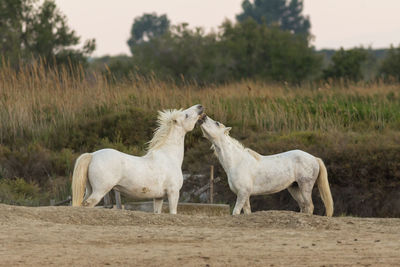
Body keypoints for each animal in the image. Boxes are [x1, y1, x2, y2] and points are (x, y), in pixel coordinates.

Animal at [70, 103, 205, 215]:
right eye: (186, 115)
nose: (200, 107)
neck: (168, 157)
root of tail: (92, 155)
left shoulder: (159, 197)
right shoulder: (173, 193)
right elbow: (173, 212)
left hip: (89, 189)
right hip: (100, 190)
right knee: (88, 205)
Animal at [200, 116, 334, 217]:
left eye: (217, 123)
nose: (203, 117)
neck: (237, 162)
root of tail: (314, 158)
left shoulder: (242, 193)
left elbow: (236, 212)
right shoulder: (245, 195)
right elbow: (247, 212)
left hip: (305, 185)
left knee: (309, 206)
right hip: (294, 187)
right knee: (303, 206)